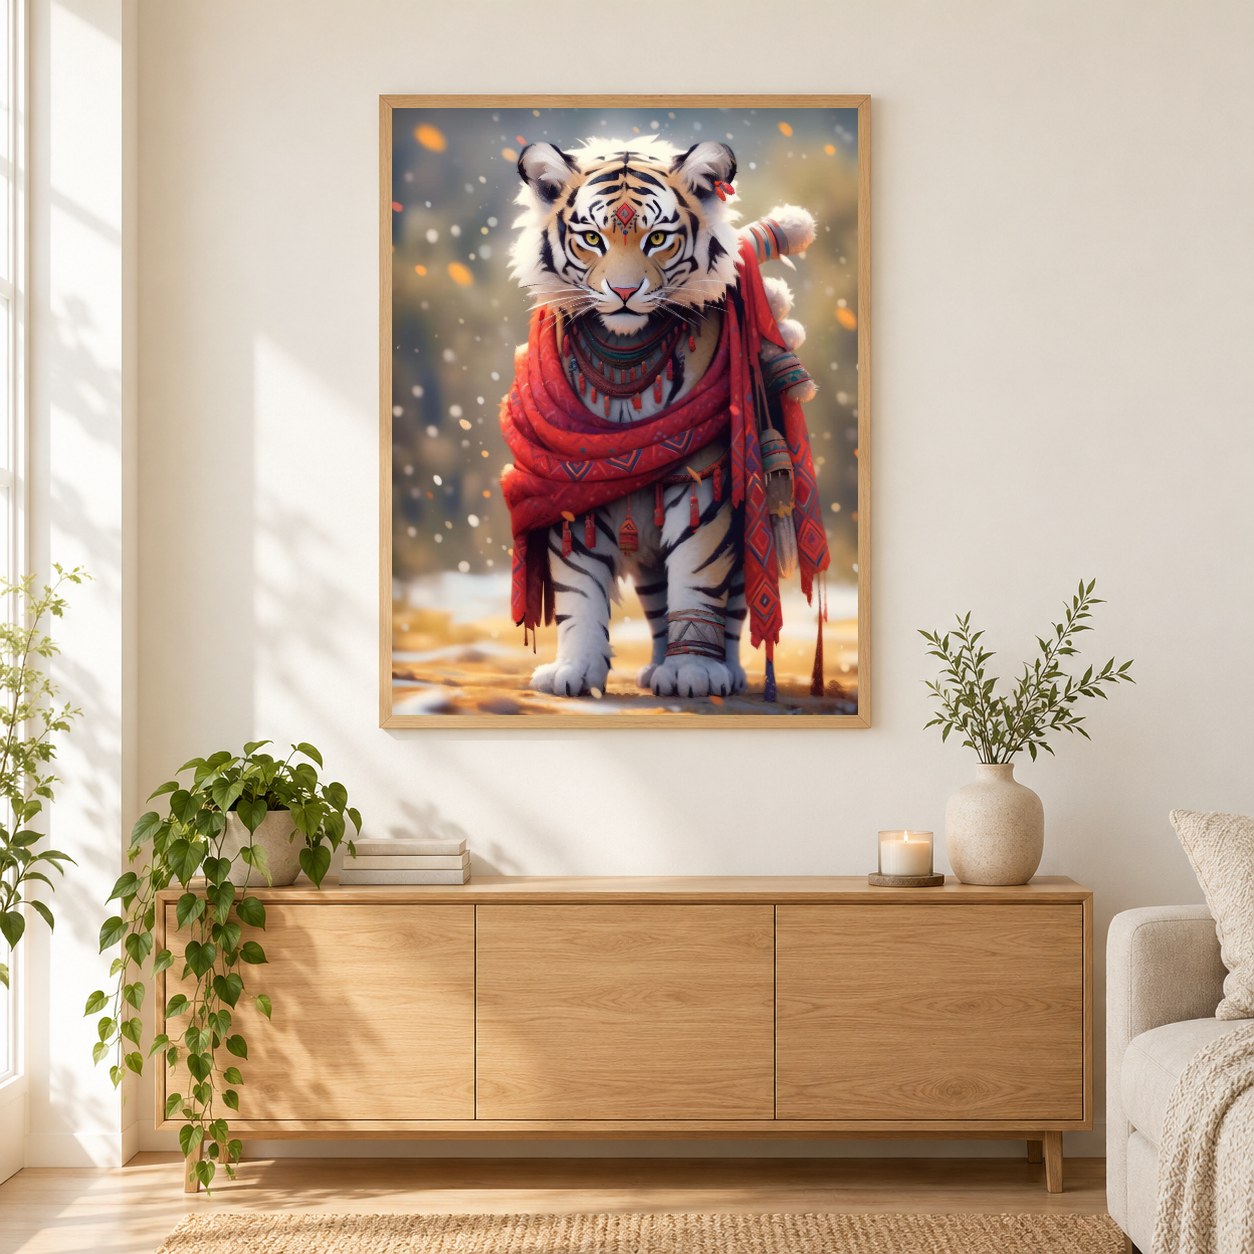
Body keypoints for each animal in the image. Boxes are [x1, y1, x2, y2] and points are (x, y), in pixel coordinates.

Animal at [504, 135, 817, 699]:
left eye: (657, 239)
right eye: (591, 238)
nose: (625, 293)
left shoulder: (701, 483)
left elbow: (696, 576)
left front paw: (693, 672)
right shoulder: (570, 486)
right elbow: (578, 589)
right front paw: (574, 670)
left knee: (733, 604)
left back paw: (725, 672)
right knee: (655, 603)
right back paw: (654, 668)